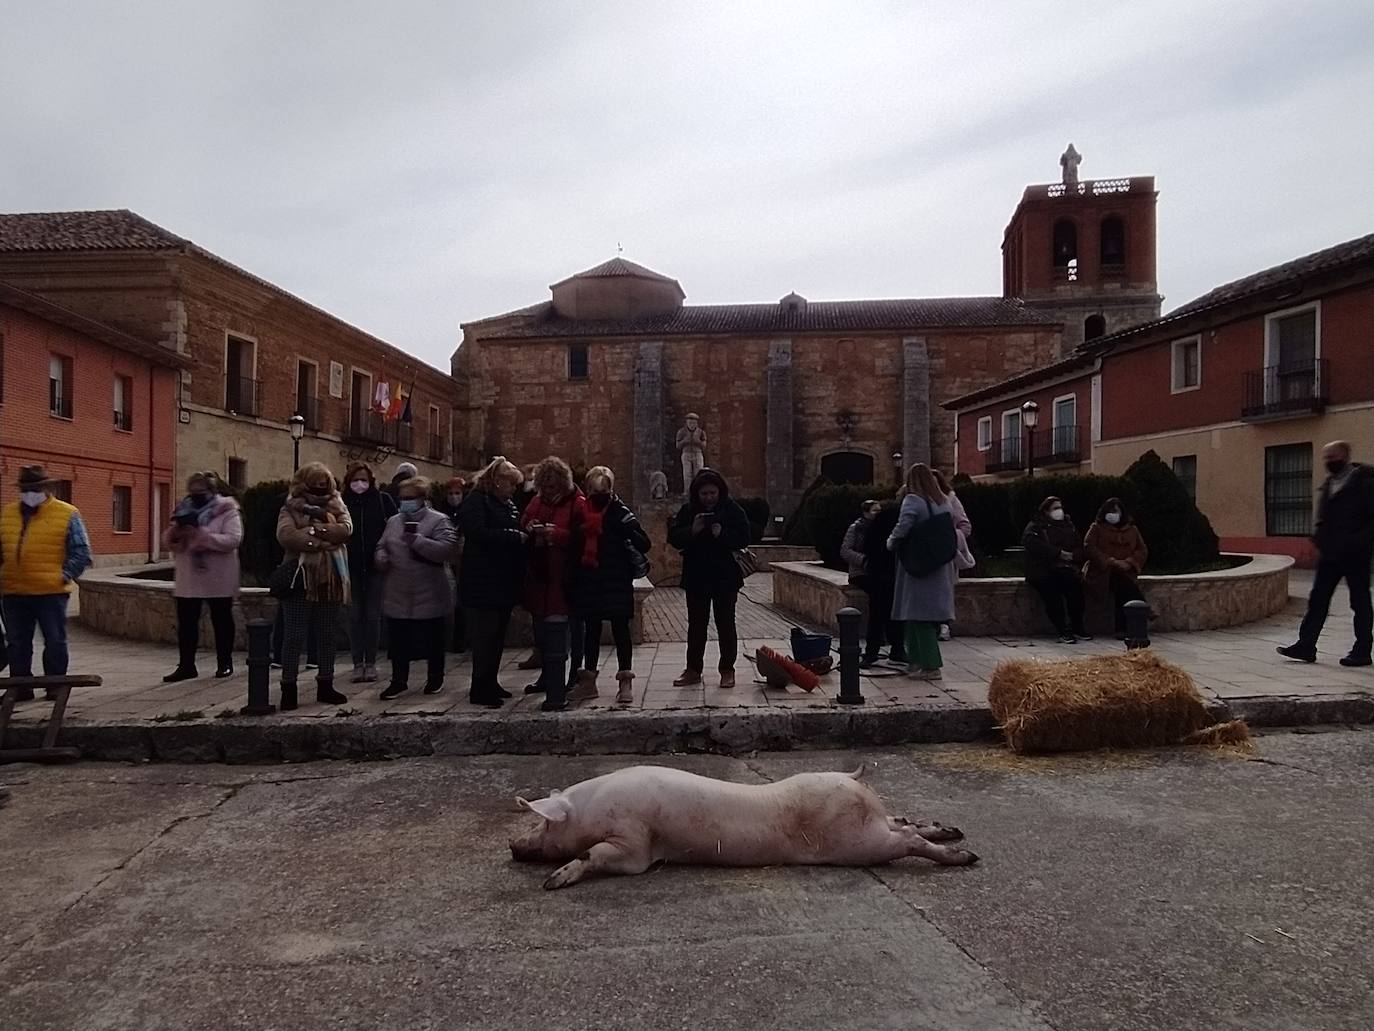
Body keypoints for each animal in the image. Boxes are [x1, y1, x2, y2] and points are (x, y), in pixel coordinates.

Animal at [508, 764, 978, 890]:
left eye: (542, 823)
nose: (512, 845)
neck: (593, 810)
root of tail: (853, 778)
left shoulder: (635, 844)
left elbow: (599, 854)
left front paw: (552, 882)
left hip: (860, 843)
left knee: (908, 837)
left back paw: (966, 856)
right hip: (872, 828)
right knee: (906, 822)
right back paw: (955, 832)